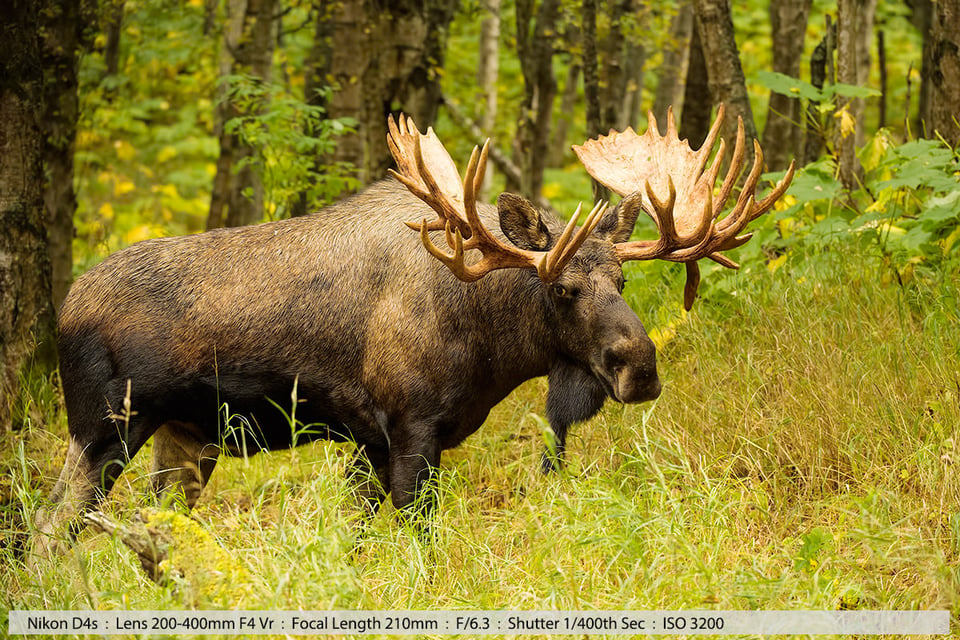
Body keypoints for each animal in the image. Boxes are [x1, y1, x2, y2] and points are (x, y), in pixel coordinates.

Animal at [33, 106, 792, 552]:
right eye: (563, 288)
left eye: (624, 283)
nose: (640, 366)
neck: (489, 345)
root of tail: (61, 310)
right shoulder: (410, 427)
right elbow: (414, 545)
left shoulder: (370, 442)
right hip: (104, 426)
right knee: (46, 529)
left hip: (184, 437)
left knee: (149, 533)